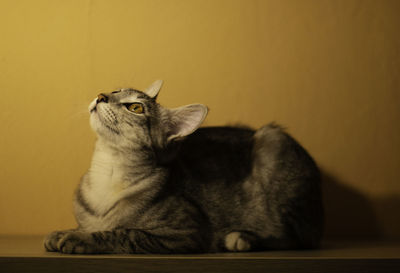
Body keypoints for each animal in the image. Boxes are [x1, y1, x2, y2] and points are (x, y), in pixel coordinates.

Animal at [43, 80, 324, 253]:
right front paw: (68, 230)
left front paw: (79, 237)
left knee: (295, 238)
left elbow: (123, 233)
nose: (101, 95)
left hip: (275, 144)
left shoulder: (184, 232)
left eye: (135, 107)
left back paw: (242, 238)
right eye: (115, 90)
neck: (107, 172)